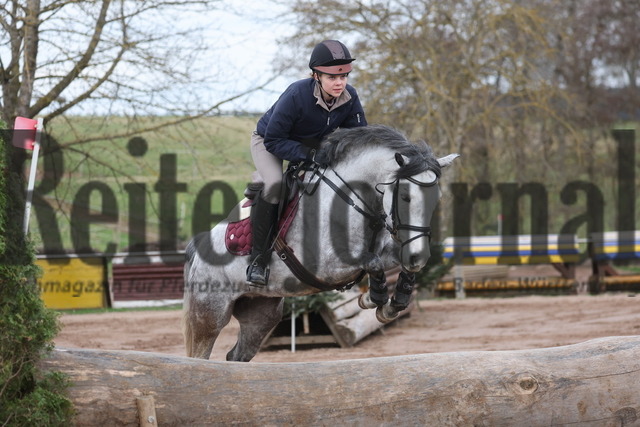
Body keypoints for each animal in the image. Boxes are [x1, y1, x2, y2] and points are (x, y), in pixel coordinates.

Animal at [182, 125, 459, 362]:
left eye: (436, 198)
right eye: (405, 197)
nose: (418, 256)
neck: (352, 198)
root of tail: (197, 250)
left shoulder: (387, 249)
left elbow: (394, 264)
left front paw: (394, 301)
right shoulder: (325, 267)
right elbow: (372, 262)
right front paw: (373, 299)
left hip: (261, 314)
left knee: (236, 356)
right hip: (209, 314)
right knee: (200, 354)